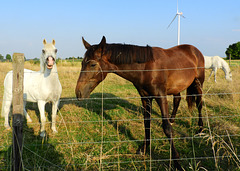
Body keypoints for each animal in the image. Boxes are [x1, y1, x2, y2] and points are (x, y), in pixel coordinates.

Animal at [75, 36, 204, 170]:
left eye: (93, 64)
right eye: (82, 63)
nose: (79, 93)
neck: (146, 68)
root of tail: (194, 50)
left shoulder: (160, 96)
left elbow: (167, 128)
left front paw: (177, 162)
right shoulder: (145, 98)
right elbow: (146, 123)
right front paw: (144, 149)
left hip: (198, 83)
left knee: (199, 103)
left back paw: (200, 129)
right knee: (177, 99)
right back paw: (173, 120)